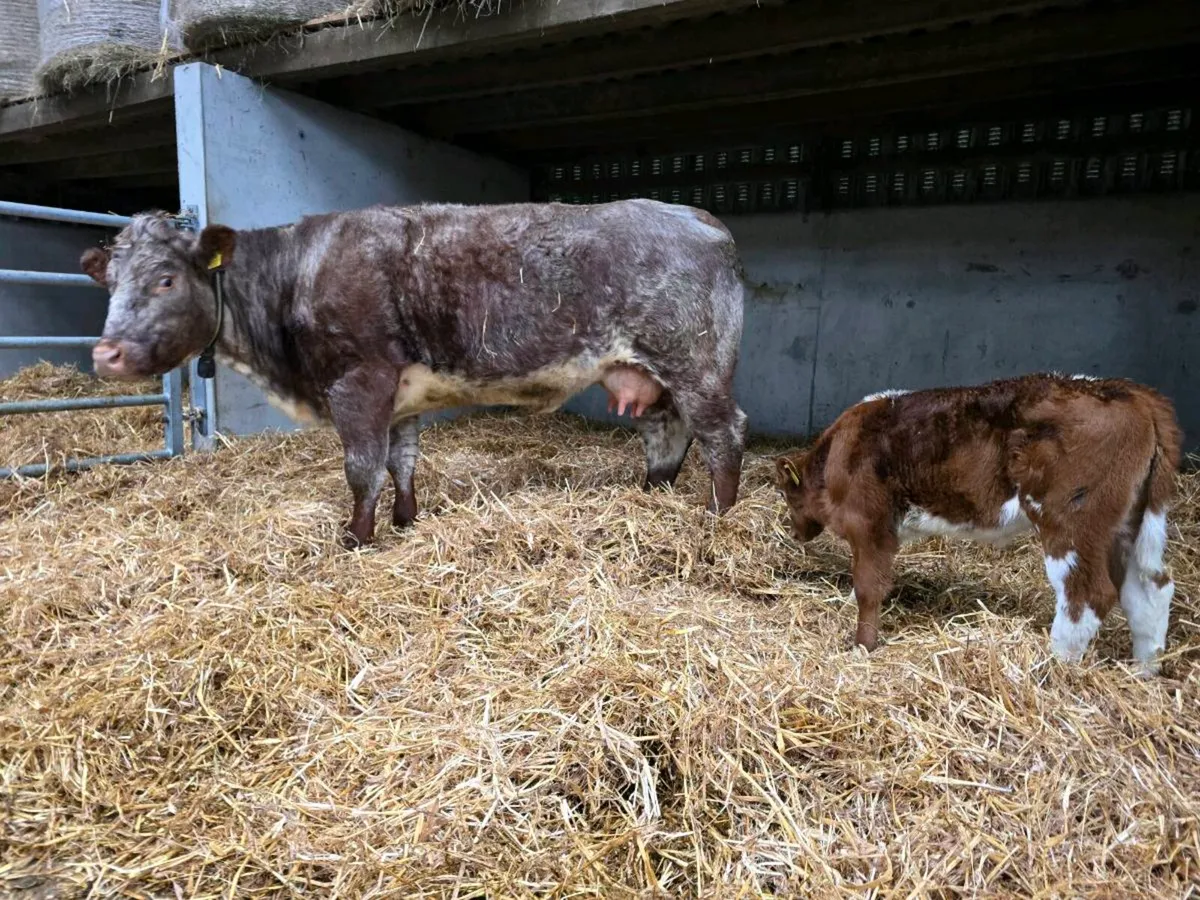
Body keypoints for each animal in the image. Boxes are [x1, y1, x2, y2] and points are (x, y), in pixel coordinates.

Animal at [81, 199, 749, 547]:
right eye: (109, 282)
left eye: (166, 279)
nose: (105, 354)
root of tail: (698, 216)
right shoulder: (400, 395)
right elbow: (401, 461)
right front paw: (405, 520)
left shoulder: (359, 381)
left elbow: (362, 469)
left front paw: (357, 537)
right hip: (648, 375)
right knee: (667, 434)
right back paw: (652, 495)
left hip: (695, 364)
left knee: (723, 433)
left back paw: (716, 517)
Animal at [774, 374, 1182, 675]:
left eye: (786, 495)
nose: (794, 532)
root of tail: (1131, 392)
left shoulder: (870, 523)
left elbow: (868, 588)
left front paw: (862, 645)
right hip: (1131, 523)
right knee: (1150, 588)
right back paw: (1143, 672)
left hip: (1072, 521)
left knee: (1087, 594)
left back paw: (1054, 665)